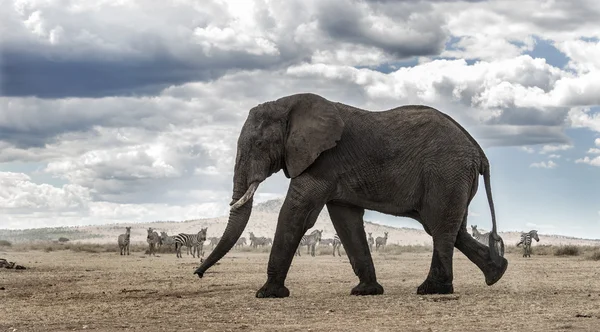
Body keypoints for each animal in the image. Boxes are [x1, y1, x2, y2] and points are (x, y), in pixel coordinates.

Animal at [195, 92, 508, 298]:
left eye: (259, 144)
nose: (198, 274)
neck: (290, 106)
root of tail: (478, 152)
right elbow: (345, 222)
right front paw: (366, 291)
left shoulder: (323, 161)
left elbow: (296, 211)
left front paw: (267, 294)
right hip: (453, 179)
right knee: (452, 228)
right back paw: (496, 273)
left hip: (446, 173)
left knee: (441, 228)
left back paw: (431, 290)